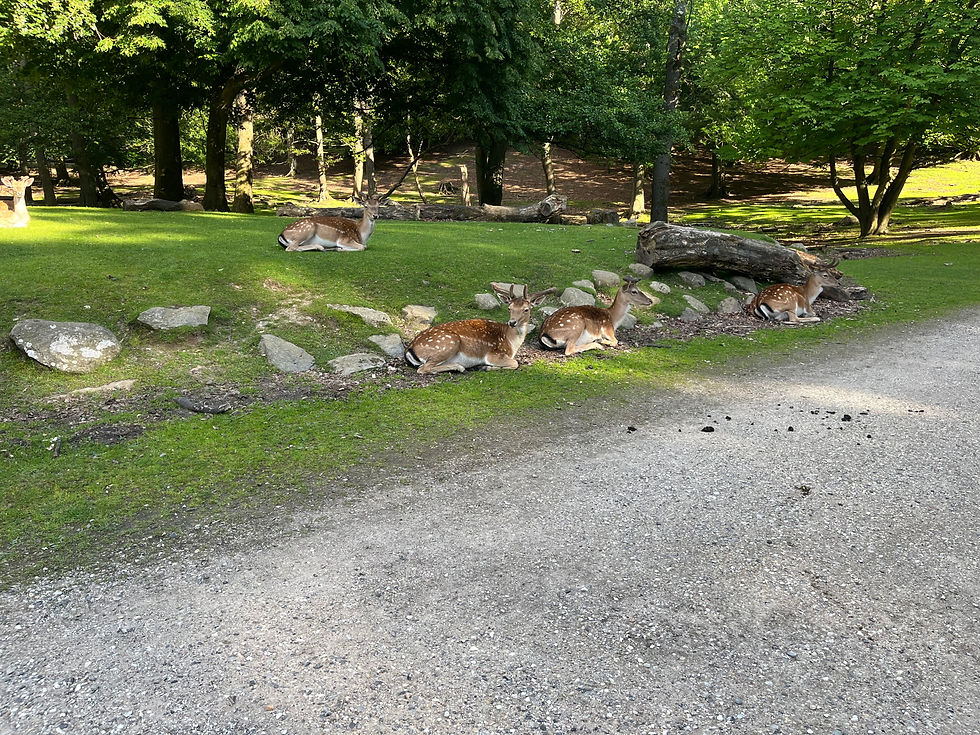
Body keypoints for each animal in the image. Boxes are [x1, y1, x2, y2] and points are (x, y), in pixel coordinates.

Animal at [405, 284, 555, 374]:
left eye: (526, 309)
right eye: (509, 308)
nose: (512, 322)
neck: (511, 343)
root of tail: (409, 349)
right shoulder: (494, 353)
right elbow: (515, 363)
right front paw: (486, 366)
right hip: (448, 343)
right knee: (423, 368)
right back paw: (460, 367)